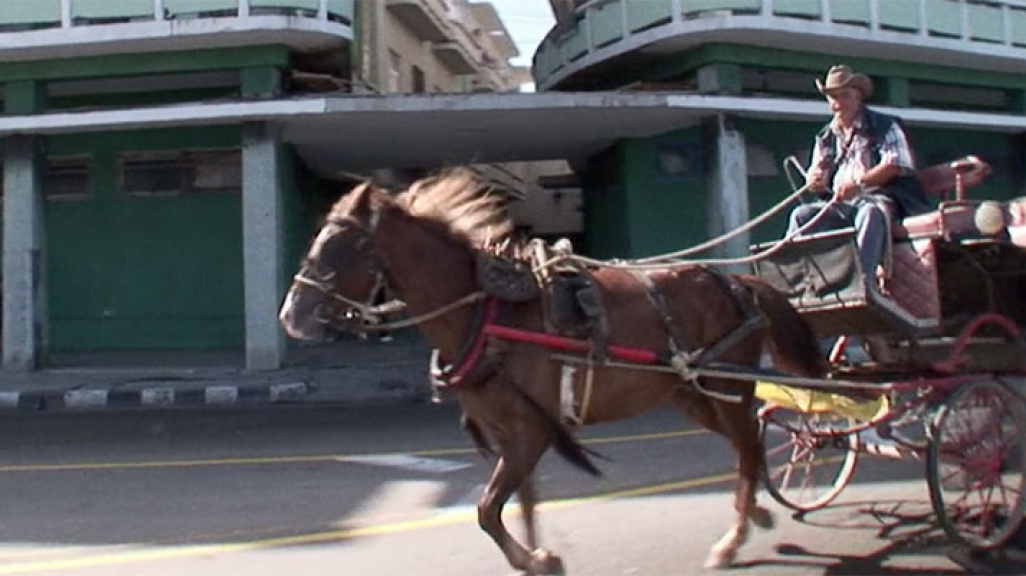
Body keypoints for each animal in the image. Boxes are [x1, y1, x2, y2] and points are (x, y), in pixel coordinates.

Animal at [279, 169, 824, 570]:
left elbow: (487, 510)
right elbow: (519, 504)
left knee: (749, 444)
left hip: (724, 385)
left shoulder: (531, 431)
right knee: (746, 445)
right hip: (693, 394)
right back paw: (754, 512)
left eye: (346, 247)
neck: (488, 309)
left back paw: (734, 537)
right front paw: (540, 554)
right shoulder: (511, 431)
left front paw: (534, 559)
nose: (291, 315)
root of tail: (736, 283)